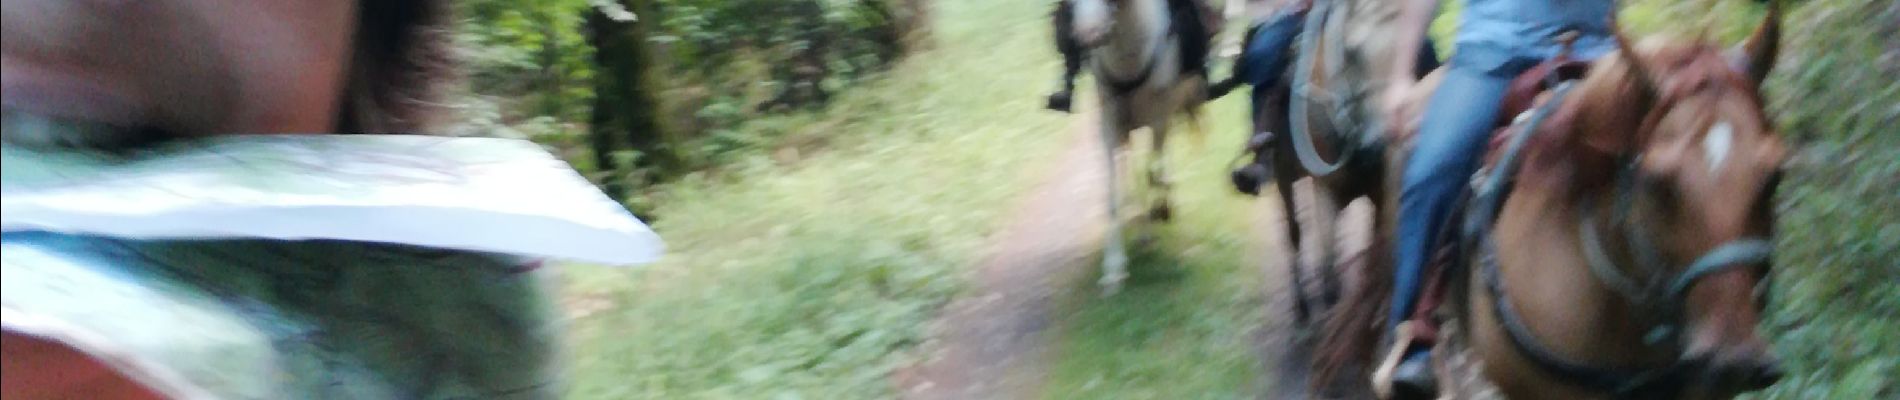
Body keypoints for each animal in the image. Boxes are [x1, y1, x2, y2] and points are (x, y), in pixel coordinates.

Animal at [1079, 0, 1208, 293]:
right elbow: (1114, 192)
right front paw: (1113, 270)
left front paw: (1154, 223)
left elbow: (1152, 172)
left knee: (1158, 162)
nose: (1089, 33)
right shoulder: (1110, 124)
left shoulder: (1159, 118)